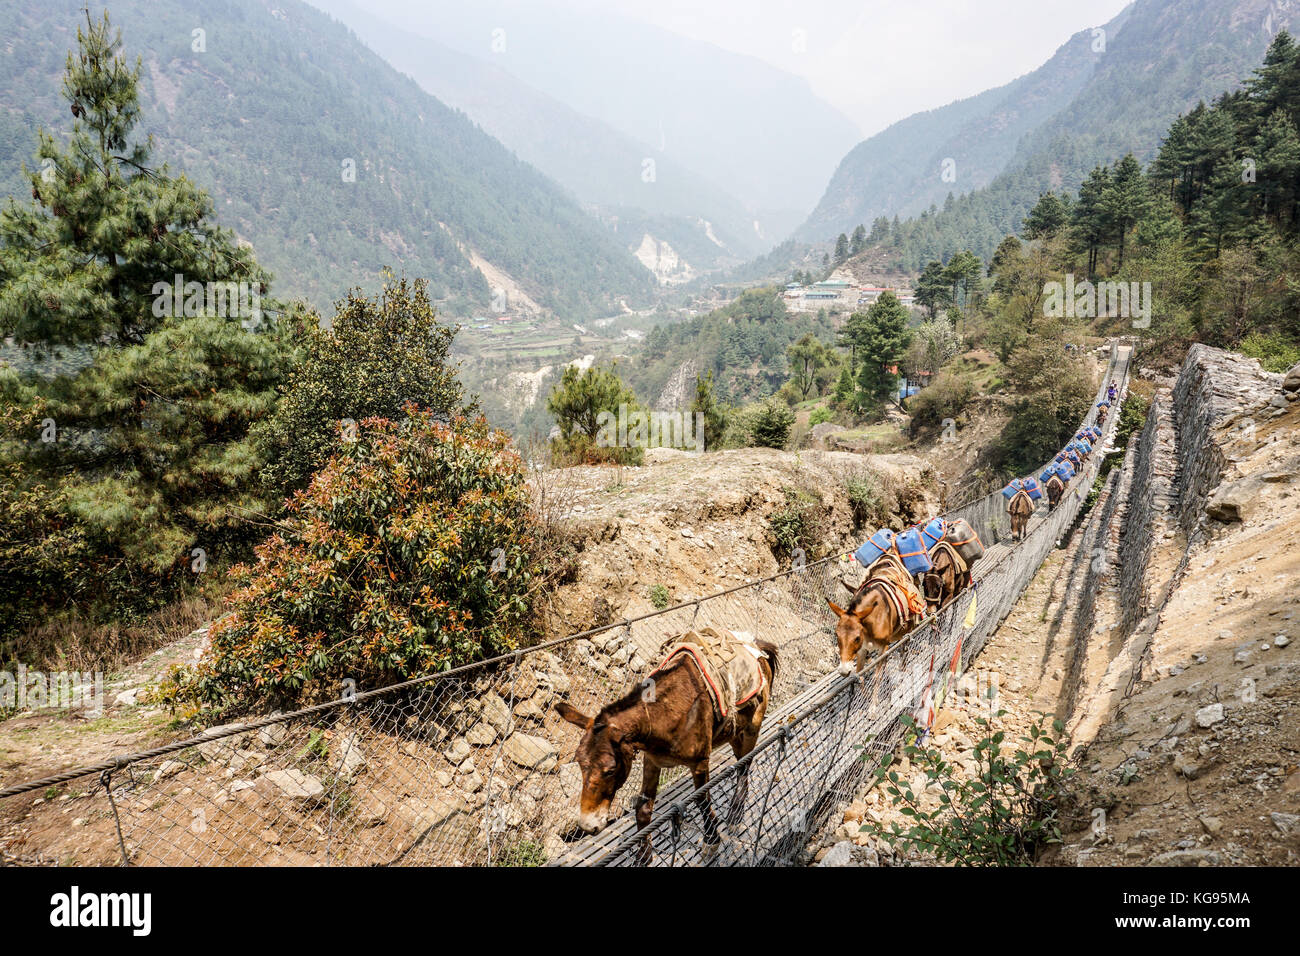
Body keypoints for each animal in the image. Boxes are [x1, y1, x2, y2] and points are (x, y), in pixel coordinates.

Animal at [555, 631, 777, 863]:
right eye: (580, 762)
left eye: (610, 769)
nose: (587, 825)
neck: (667, 715)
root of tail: (756, 646)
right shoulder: (651, 761)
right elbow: (642, 808)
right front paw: (643, 856)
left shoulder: (700, 762)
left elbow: (702, 800)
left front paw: (711, 842)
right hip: (735, 732)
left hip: (752, 727)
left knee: (745, 766)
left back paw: (735, 814)